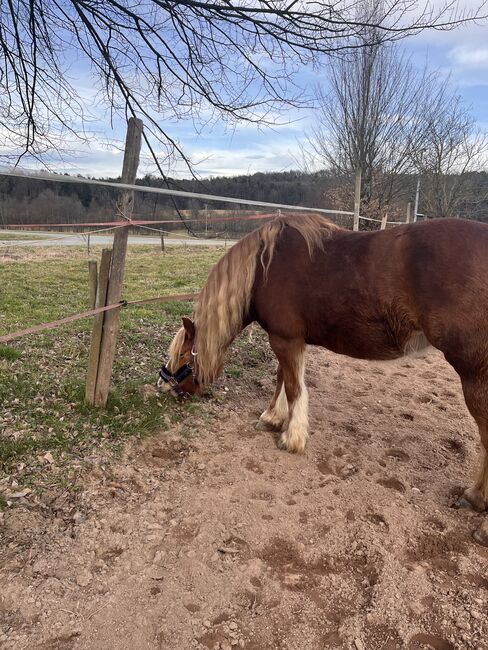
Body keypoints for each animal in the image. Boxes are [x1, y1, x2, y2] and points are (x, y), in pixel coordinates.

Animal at [158, 213, 488, 516]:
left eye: (184, 356)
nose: (166, 386)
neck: (263, 270)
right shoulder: (289, 341)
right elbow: (282, 379)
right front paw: (272, 418)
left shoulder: (285, 339)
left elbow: (293, 387)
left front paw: (291, 438)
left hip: (474, 375)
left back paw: (475, 499)